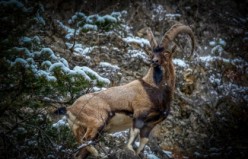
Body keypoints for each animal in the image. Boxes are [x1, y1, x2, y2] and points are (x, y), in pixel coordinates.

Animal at [59, 23, 194, 158]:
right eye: (152, 53)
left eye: (166, 53)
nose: (154, 61)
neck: (155, 88)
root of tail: (70, 108)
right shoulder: (139, 114)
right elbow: (133, 133)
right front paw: (129, 149)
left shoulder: (150, 124)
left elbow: (143, 141)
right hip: (98, 121)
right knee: (85, 140)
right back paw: (100, 154)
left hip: (85, 130)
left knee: (81, 151)